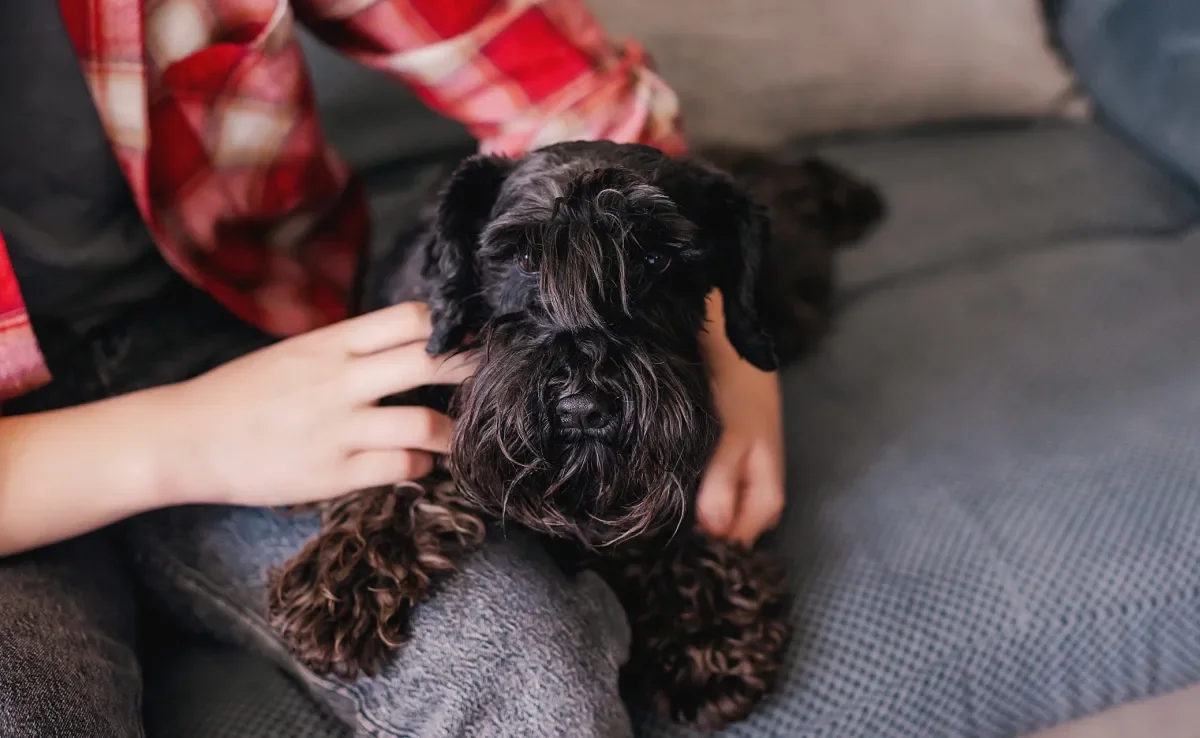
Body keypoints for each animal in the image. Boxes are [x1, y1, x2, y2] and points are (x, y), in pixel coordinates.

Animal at [267, 139, 883, 734]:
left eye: (654, 258)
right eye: (523, 258)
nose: (584, 407)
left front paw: (706, 627)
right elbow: (400, 471)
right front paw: (347, 580)